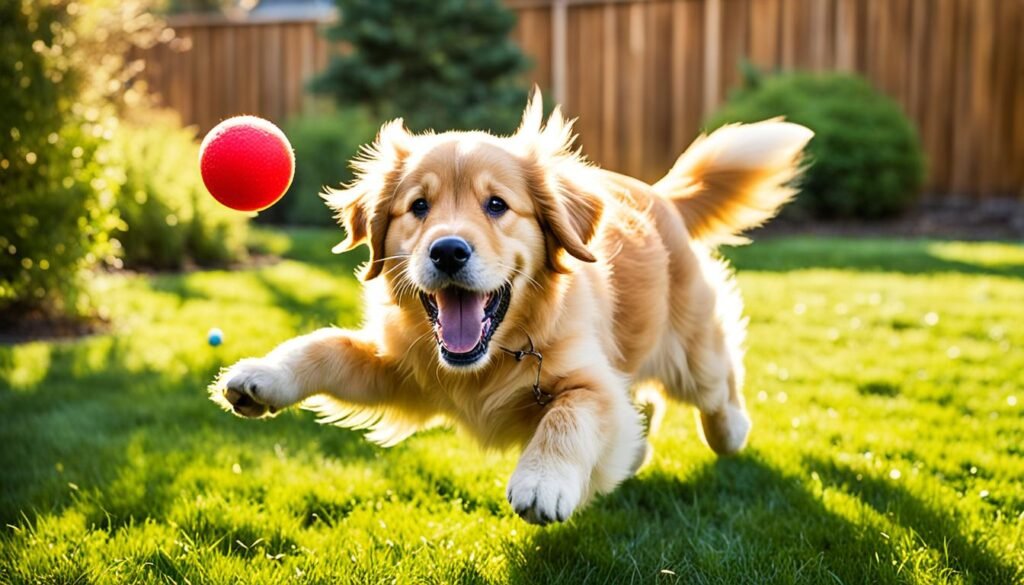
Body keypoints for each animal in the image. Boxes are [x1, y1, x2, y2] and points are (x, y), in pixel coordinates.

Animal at [211, 91, 811, 524]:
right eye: (419, 207)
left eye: (497, 205)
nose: (448, 251)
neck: (495, 352)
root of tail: (658, 192)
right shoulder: (401, 369)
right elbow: (325, 346)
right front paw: (262, 376)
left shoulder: (590, 380)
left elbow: (568, 413)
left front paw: (543, 482)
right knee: (643, 406)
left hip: (691, 349)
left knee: (715, 387)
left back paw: (731, 430)